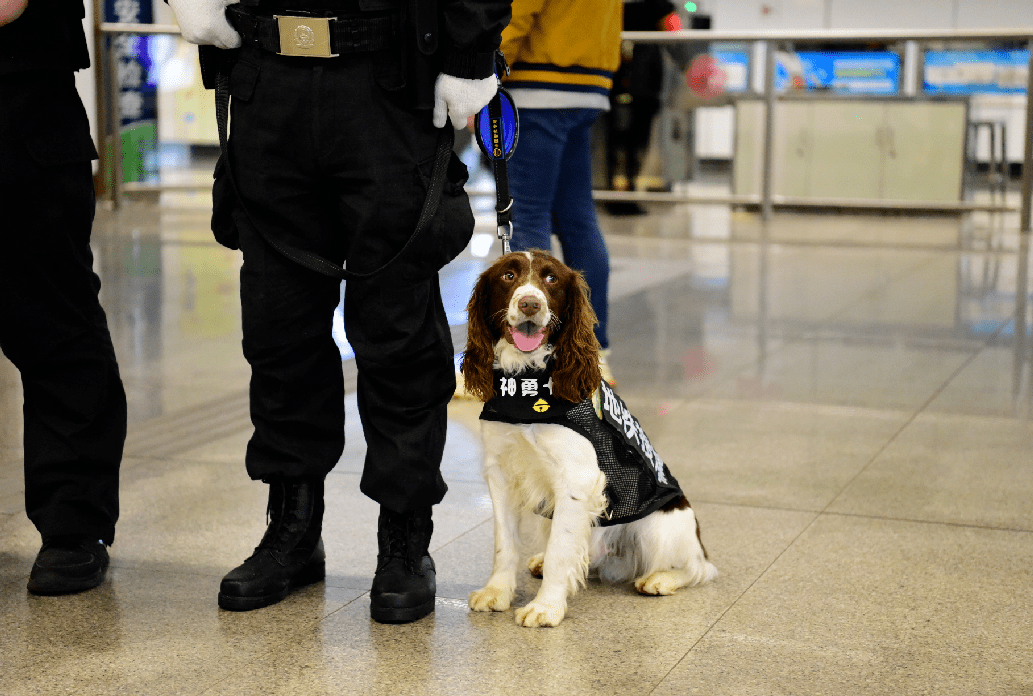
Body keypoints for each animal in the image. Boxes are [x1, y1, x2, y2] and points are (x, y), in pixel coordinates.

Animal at [462, 250, 718, 627]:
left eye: (551, 279)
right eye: (508, 276)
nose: (529, 304)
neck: (528, 382)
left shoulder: (576, 478)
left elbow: (561, 550)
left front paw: (546, 608)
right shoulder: (501, 472)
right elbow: (504, 543)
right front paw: (497, 592)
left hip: (661, 525)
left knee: (698, 568)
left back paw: (661, 579)